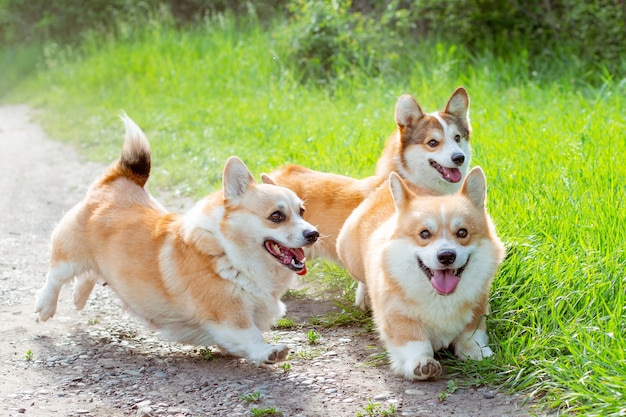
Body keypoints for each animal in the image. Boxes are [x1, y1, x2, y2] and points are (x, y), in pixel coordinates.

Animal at [35, 114, 316, 364]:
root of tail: (115, 182)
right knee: (55, 276)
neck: (229, 251)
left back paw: (78, 298)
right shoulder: (228, 315)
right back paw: (45, 307)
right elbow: (251, 336)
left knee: (89, 274)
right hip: (69, 254)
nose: (313, 234)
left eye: (302, 211)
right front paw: (270, 351)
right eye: (276, 216)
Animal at [336, 167, 502, 378]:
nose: (446, 256)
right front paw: (422, 362)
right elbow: (414, 341)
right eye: (424, 234)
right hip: (350, 258)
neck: (441, 298)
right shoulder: (398, 316)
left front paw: (478, 352)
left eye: (462, 232)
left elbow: (472, 334)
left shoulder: (478, 308)